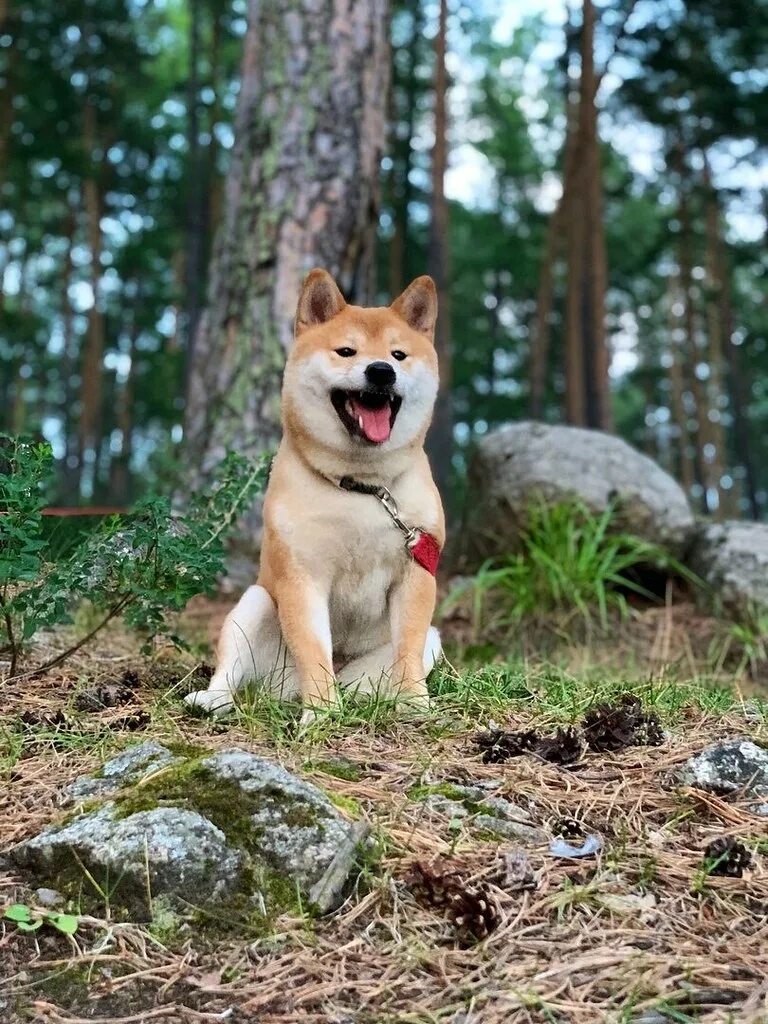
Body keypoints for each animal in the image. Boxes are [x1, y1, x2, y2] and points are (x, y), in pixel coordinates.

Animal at [185, 272, 444, 720]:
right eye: (346, 351)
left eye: (399, 354)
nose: (381, 371)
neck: (360, 486)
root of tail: (282, 692)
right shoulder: (301, 577)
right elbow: (313, 650)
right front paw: (321, 712)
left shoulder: (415, 572)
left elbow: (408, 647)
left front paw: (415, 704)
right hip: (253, 605)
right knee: (231, 674)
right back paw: (214, 699)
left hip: (429, 642)